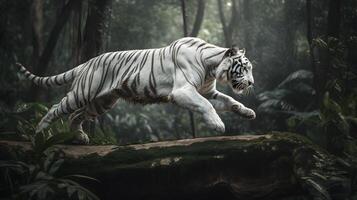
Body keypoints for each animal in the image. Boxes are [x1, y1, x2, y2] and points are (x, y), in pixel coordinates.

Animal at [17, 37, 256, 144]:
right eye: (245, 68)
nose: (252, 83)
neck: (211, 67)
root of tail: (86, 63)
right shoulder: (183, 91)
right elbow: (206, 106)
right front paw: (217, 125)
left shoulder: (207, 92)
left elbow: (229, 101)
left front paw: (248, 112)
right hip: (82, 93)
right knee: (56, 108)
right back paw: (39, 134)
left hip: (102, 102)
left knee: (76, 116)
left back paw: (81, 137)